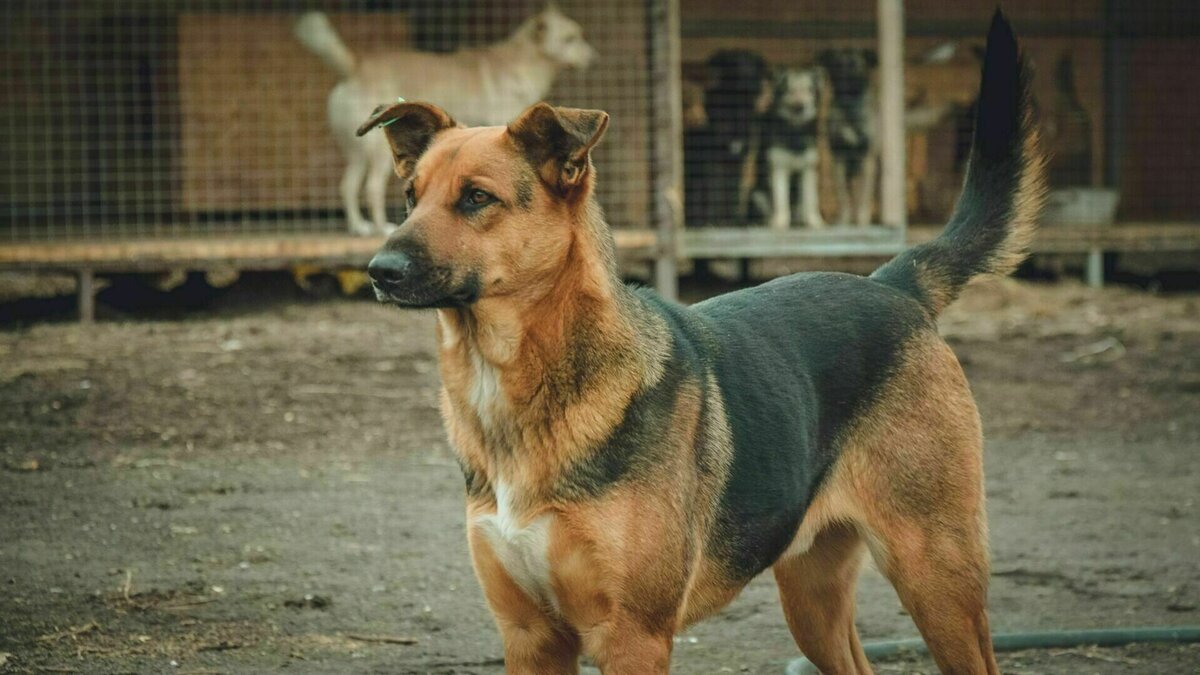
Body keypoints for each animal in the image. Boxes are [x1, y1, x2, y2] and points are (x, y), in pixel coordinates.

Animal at [295, 6, 595, 234]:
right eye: (570, 39)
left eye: (580, 35)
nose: (594, 57)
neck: (523, 61)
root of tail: (355, 68)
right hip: (379, 154)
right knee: (371, 188)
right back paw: (381, 228)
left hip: (357, 152)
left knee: (347, 185)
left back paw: (359, 227)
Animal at [355, 11, 1041, 672]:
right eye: (410, 198)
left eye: (477, 198)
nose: (378, 271)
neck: (516, 378)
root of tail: (893, 285)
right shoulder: (530, 638)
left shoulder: (632, 639)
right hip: (813, 599)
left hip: (936, 577)